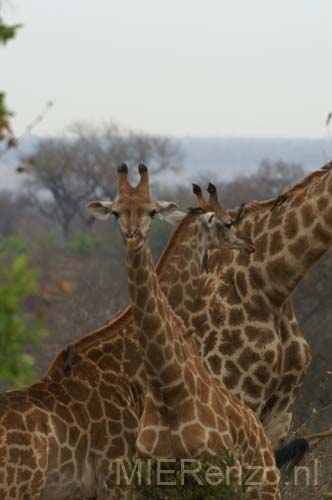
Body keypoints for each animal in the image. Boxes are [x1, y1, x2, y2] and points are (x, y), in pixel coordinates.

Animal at [88, 164, 280, 500]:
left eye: (152, 211)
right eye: (115, 213)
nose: (133, 238)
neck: (167, 386)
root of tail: (261, 435)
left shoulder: (222, 472)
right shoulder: (154, 476)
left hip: (265, 485)